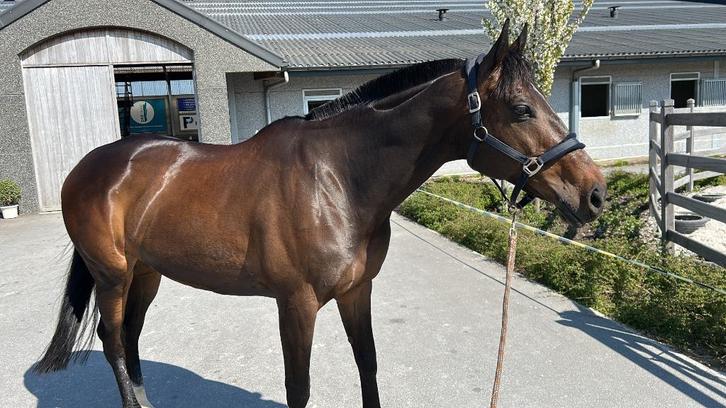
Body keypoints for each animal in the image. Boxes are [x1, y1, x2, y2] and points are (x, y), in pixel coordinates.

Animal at [33, 21, 606, 408]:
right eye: (522, 109)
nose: (595, 193)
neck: (338, 179)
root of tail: (91, 166)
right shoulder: (297, 305)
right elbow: (299, 388)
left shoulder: (357, 292)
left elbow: (367, 365)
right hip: (112, 274)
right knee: (112, 340)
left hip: (146, 273)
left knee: (130, 338)